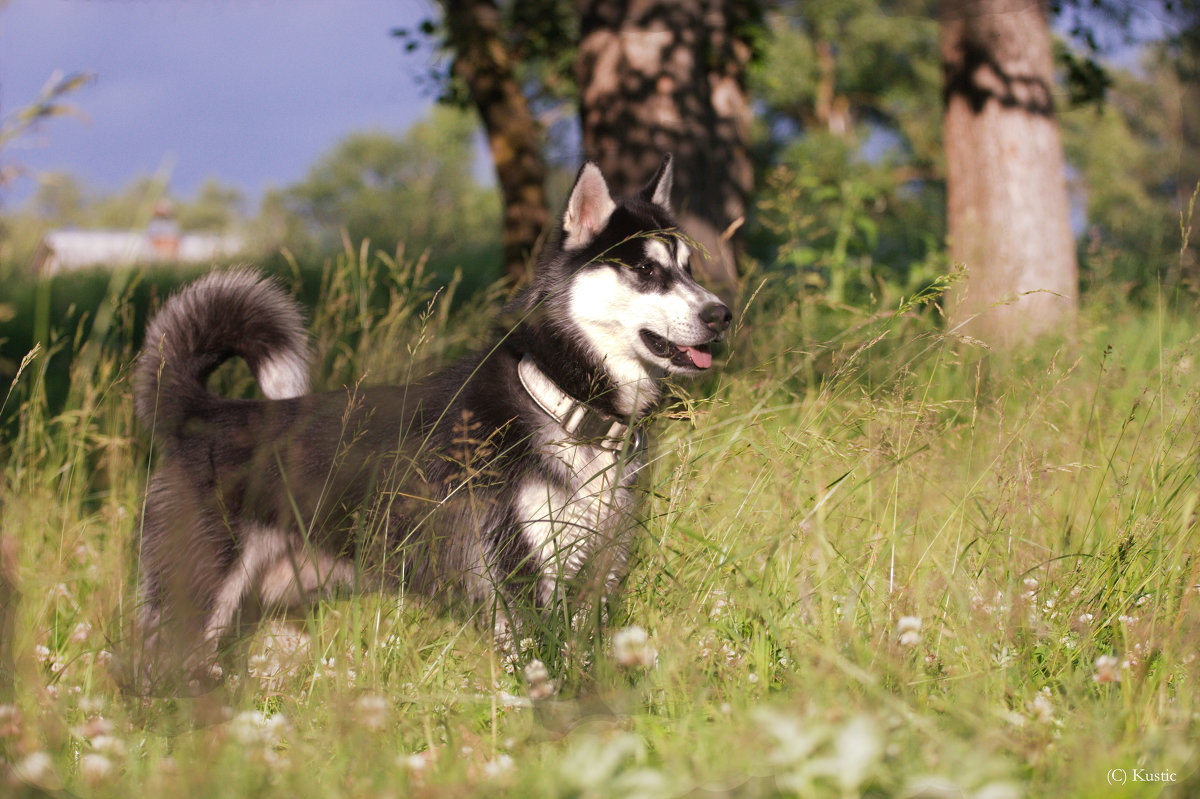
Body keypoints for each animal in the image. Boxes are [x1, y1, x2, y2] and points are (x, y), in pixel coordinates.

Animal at [131, 152, 729, 676]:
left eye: (688, 268)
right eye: (646, 270)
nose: (721, 315)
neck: (564, 403)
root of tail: (204, 412)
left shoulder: (597, 571)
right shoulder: (519, 576)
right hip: (198, 598)